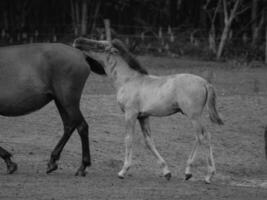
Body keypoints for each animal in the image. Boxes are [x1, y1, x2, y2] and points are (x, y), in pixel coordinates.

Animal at [0, 42, 104, 177]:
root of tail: (81, 55)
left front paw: (9, 163)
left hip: (68, 101)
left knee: (82, 127)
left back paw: (82, 166)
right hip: (60, 101)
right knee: (69, 126)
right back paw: (53, 161)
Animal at [73, 37, 224, 183]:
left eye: (100, 46)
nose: (77, 41)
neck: (128, 80)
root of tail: (205, 83)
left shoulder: (130, 114)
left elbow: (128, 139)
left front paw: (123, 171)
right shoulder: (143, 116)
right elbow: (149, 142)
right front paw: (166, 172)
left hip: (193, 116)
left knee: (200, 136)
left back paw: (190, 172)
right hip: (196, 117)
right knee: (208, 135)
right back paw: (209, 175)